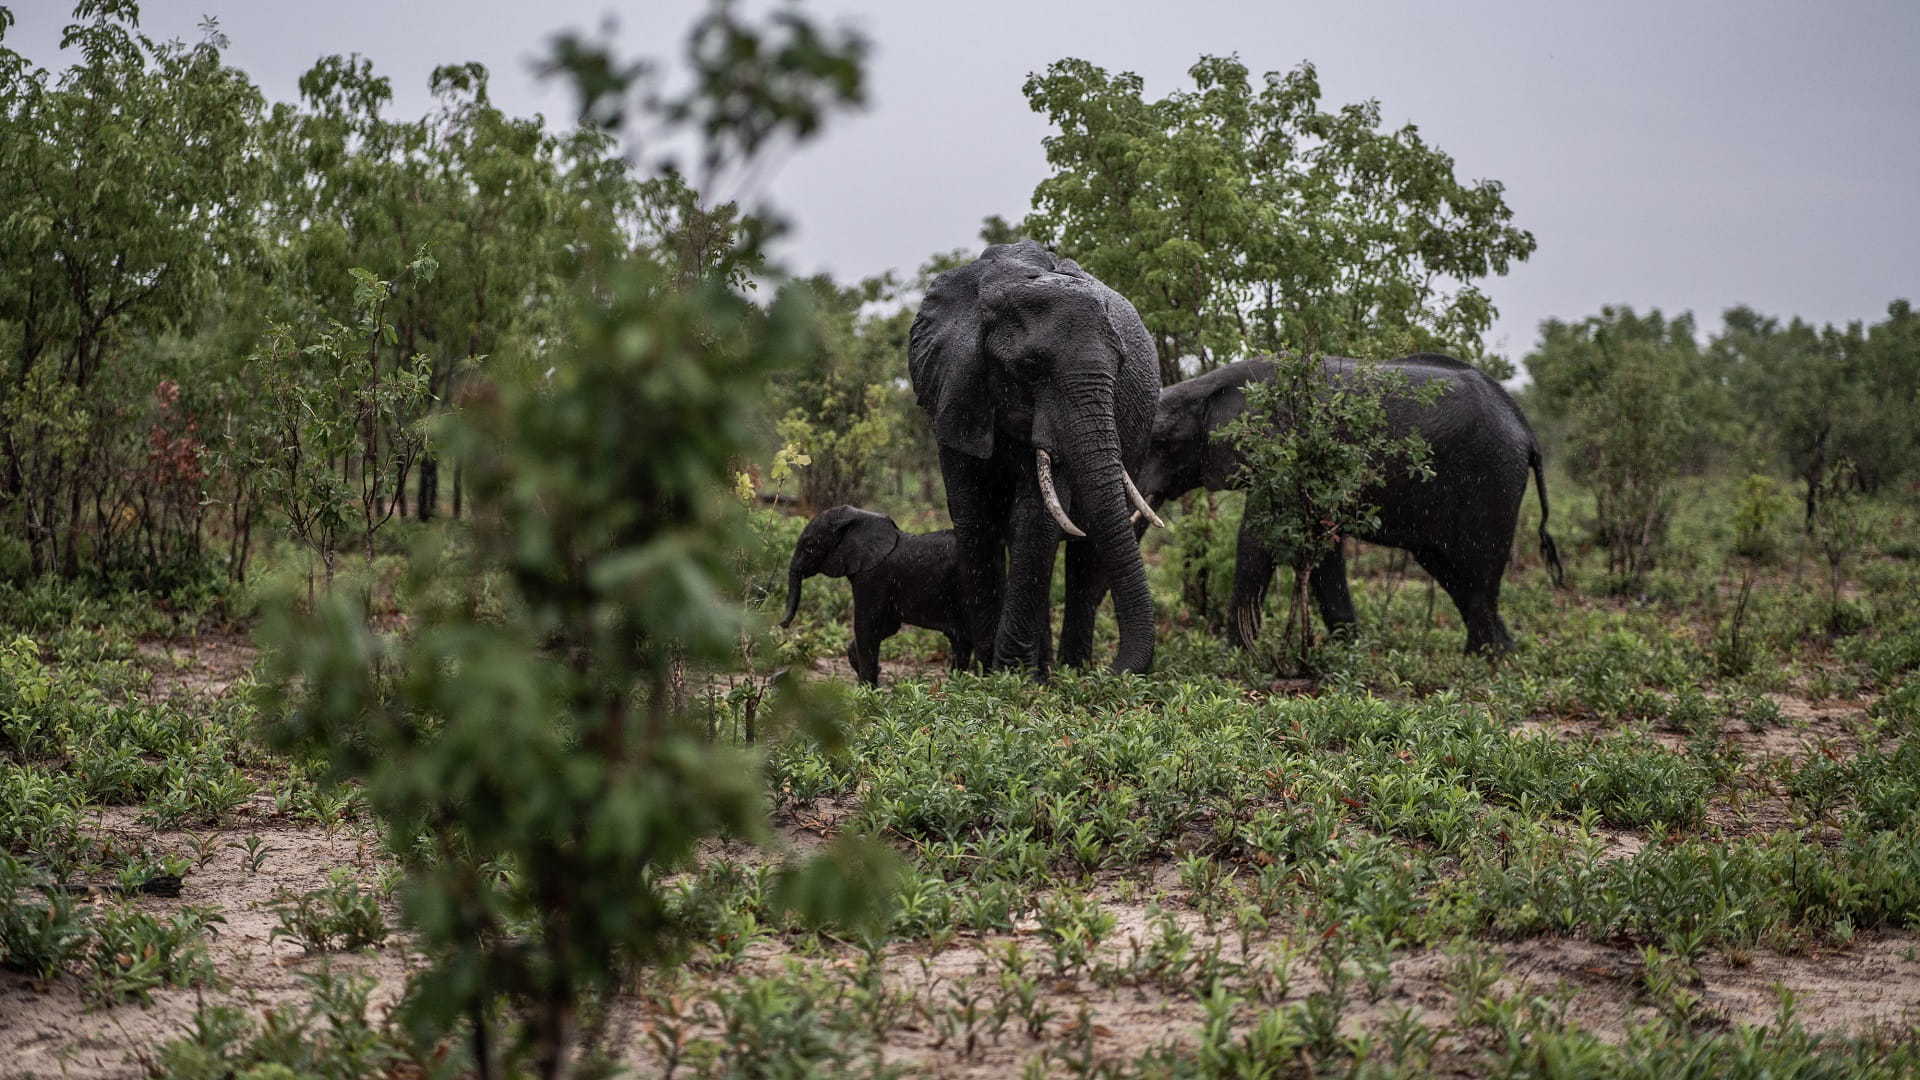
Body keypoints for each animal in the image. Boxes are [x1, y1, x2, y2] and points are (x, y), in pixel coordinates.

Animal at [780, 505, 972, 686]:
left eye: (810, 547)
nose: (783, 625)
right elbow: (888, 626)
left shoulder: (873, 577)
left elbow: (866, 625)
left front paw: (867, 693)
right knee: (961, 640)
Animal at [908, 240, 1164, 676]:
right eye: (1029, 367)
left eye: (1121, 365)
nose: (1112, 669)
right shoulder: (953, 389)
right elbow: (973, 518)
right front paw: (989, 672)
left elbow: (1035, 519)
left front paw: (1010, 673)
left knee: (1086, 546)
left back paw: (1070, 669)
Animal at [1135, 353, 1563, 653]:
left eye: (1160, 441)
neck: (1207, 385)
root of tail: (1527, 431)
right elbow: (1320, 546)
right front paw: (1348, 650)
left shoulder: (1284, 452)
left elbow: (1258, 539)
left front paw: (1235, 656)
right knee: (1451, 570)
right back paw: (1500, 655)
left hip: (1493, 478)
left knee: (1478, 568)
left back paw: (1483, 660)